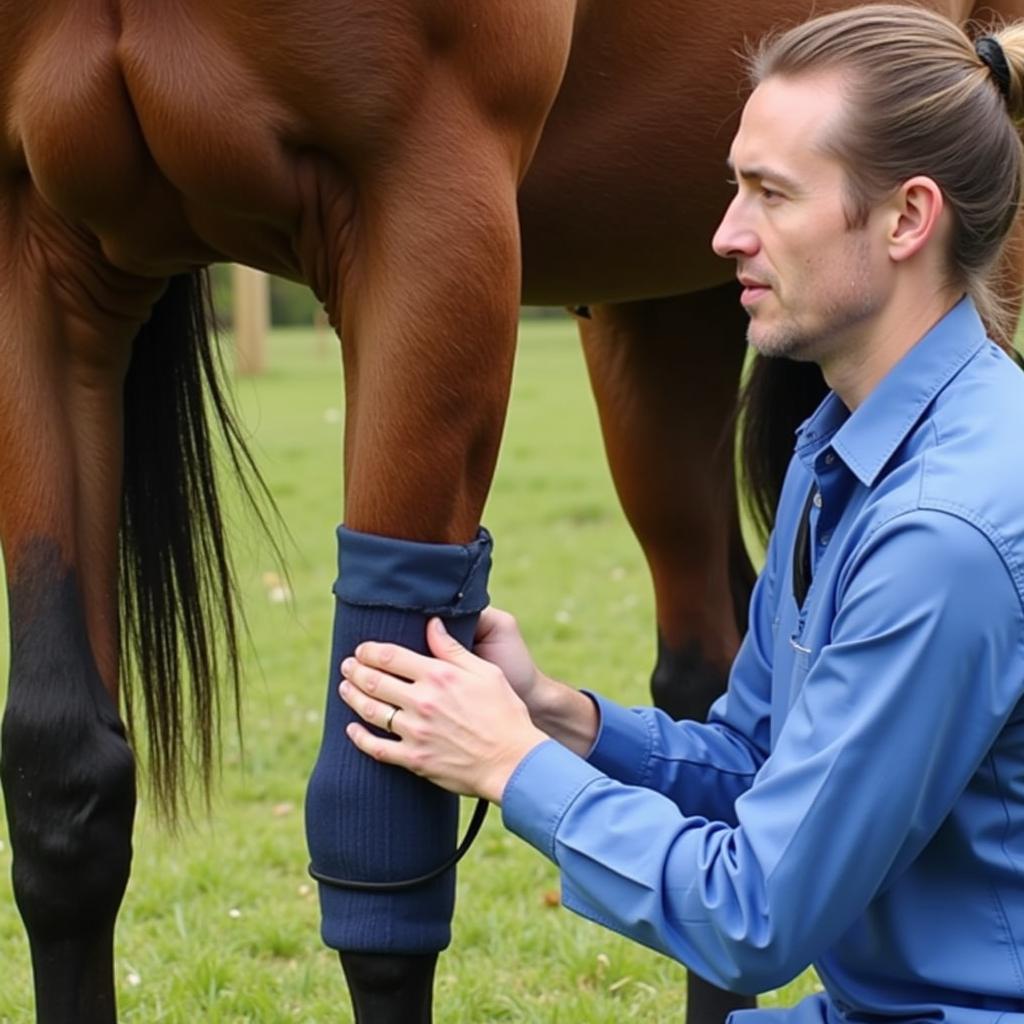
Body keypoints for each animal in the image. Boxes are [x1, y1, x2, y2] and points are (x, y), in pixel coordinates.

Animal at [0, 2, 1015, 1024]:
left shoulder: (432, 206)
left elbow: (381, 838)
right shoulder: (39, 253)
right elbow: (63, 787)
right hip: (669, 301)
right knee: (716, 688)